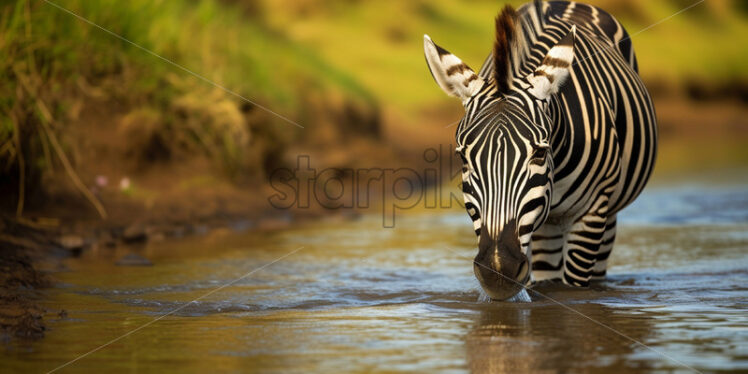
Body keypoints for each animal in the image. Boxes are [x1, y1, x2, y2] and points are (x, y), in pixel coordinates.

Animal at [424, 0, 656, 298]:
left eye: (539, 153)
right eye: (463, 158)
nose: (498, 270)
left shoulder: (591, 215)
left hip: (607, 212)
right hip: (548, 227)